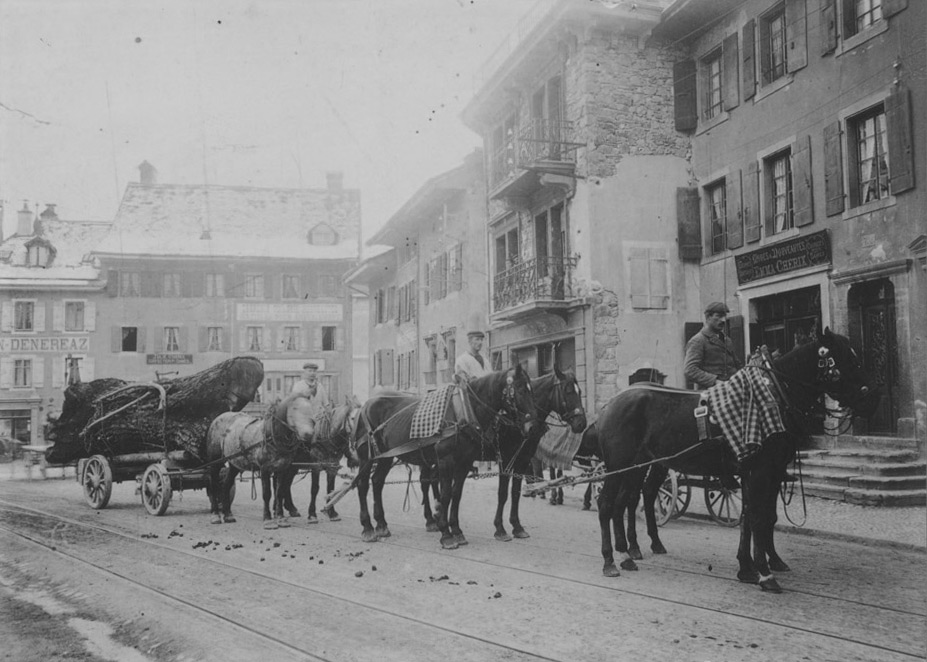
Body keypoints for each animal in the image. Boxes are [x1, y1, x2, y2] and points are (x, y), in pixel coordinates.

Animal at [206, 394, 316, 528]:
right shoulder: (265, 469)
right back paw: (215, 514)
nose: (309, 434)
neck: (271, 437)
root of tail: (219, 417)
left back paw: (228, 515)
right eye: (294, 408)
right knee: (214, 485)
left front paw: (280, 518)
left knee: (226, 485)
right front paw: (268, 519)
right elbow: (267, 494)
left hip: (235, 463)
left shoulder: (282, 468)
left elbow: (279, 492)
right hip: (215, 461)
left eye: (311, 408)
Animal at [274, 396, 360, 528]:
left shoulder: (332, 467)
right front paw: (312, 515)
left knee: (286, 484)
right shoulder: (316, 467)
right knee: (278, 485)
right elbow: (314, 489)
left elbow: (331, 489)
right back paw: (278, 510)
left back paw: (291, 508)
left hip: (293, 467)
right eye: (352, 418)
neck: (327, 435)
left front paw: (332, 512)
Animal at [350, 366, 536, 552]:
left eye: (531, 389)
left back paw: (381, 524)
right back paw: (367, 528)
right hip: (366, 457)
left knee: (377, 482)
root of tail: (364, 405)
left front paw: (457, 530)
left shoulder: (464, 463)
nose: (531, 427)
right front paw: (446, 534)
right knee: (362, 485)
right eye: (520, 390)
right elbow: (445, 495)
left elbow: (456, 494)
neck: (463, 410)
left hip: (385, 457)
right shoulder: (446, 461)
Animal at [490, 368, 584, 544]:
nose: (582, 423)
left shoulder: (522, 460)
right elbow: (503, 493)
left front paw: (517, 527)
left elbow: (515, 493)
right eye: (568, 391)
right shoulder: (505, 460)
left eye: (579, 391)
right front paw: (500, 529)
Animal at [596, 330, 876, 592]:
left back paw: (630, 550)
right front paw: (763, 573)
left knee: (629, 499)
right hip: (619, 466)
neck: (774, 393)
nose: (872, 396)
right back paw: (611, 559)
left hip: (641, 466)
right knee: (607, 503)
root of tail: (611, 403)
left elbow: (760, 516)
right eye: (847, 358)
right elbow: (757, 518)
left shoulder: (770, 472)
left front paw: (755, 564)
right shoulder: (761, 471)